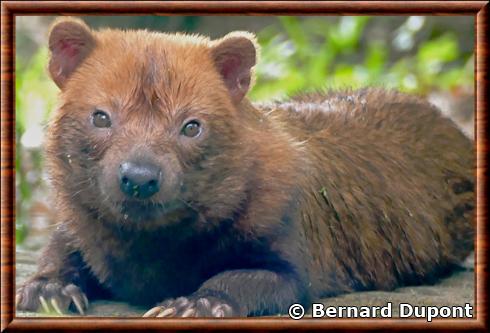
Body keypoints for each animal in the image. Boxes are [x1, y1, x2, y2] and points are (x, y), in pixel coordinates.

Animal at [16, 18, 474, 316]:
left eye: (191, 125)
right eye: (101, 116)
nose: (140, 178)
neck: (150, 253)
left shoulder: (293, 257)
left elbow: (241, 279)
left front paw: (191, 304)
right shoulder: (76, 224)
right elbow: (58, 250)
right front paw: (49, 290)